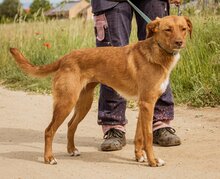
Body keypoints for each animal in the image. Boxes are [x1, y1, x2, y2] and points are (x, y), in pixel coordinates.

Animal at [9, 15, 192, 166]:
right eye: (168, 29)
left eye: (183, 29)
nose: (179, 42)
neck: (156, 52)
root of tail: (65, 58)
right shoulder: (147, 103)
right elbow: (148, 136)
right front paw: (153, 161)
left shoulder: (144, 104)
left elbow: (139, 136)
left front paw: (140, 156)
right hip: (66, 101)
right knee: (49, 130)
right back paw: (49, 158)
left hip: (84, 102)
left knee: (70, 125)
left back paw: (72, 150)